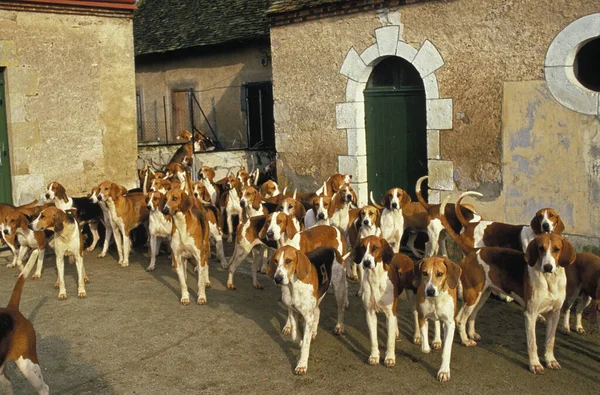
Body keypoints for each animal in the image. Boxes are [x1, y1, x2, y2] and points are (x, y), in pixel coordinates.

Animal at [268, 246, 346, 376]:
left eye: (288, 260)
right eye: (275, 260)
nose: (277, 279)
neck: (294, 285)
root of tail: (332, 249)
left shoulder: (308, 317)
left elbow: (305, 344)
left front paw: (302, 365)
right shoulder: (293, 311)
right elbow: (296, 334)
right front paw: (301, 341)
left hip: (339, 290)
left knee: (340, 309)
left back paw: (339, 327)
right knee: (318, 312)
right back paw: (313, 332)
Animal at [454, 234, 576, 376]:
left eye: (557, 249)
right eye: (541, 248)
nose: (548, 267)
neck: (550, 280)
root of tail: (474, 250)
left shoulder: (554, 314)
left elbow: (550, 341)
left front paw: (550, 360)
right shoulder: (530, 314)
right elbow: (532, 343)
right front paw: (535, 364)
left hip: (482, 296)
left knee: (472, 315)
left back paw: (472, 334)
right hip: (473, 296)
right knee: (460, 319)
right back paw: (465, 340)